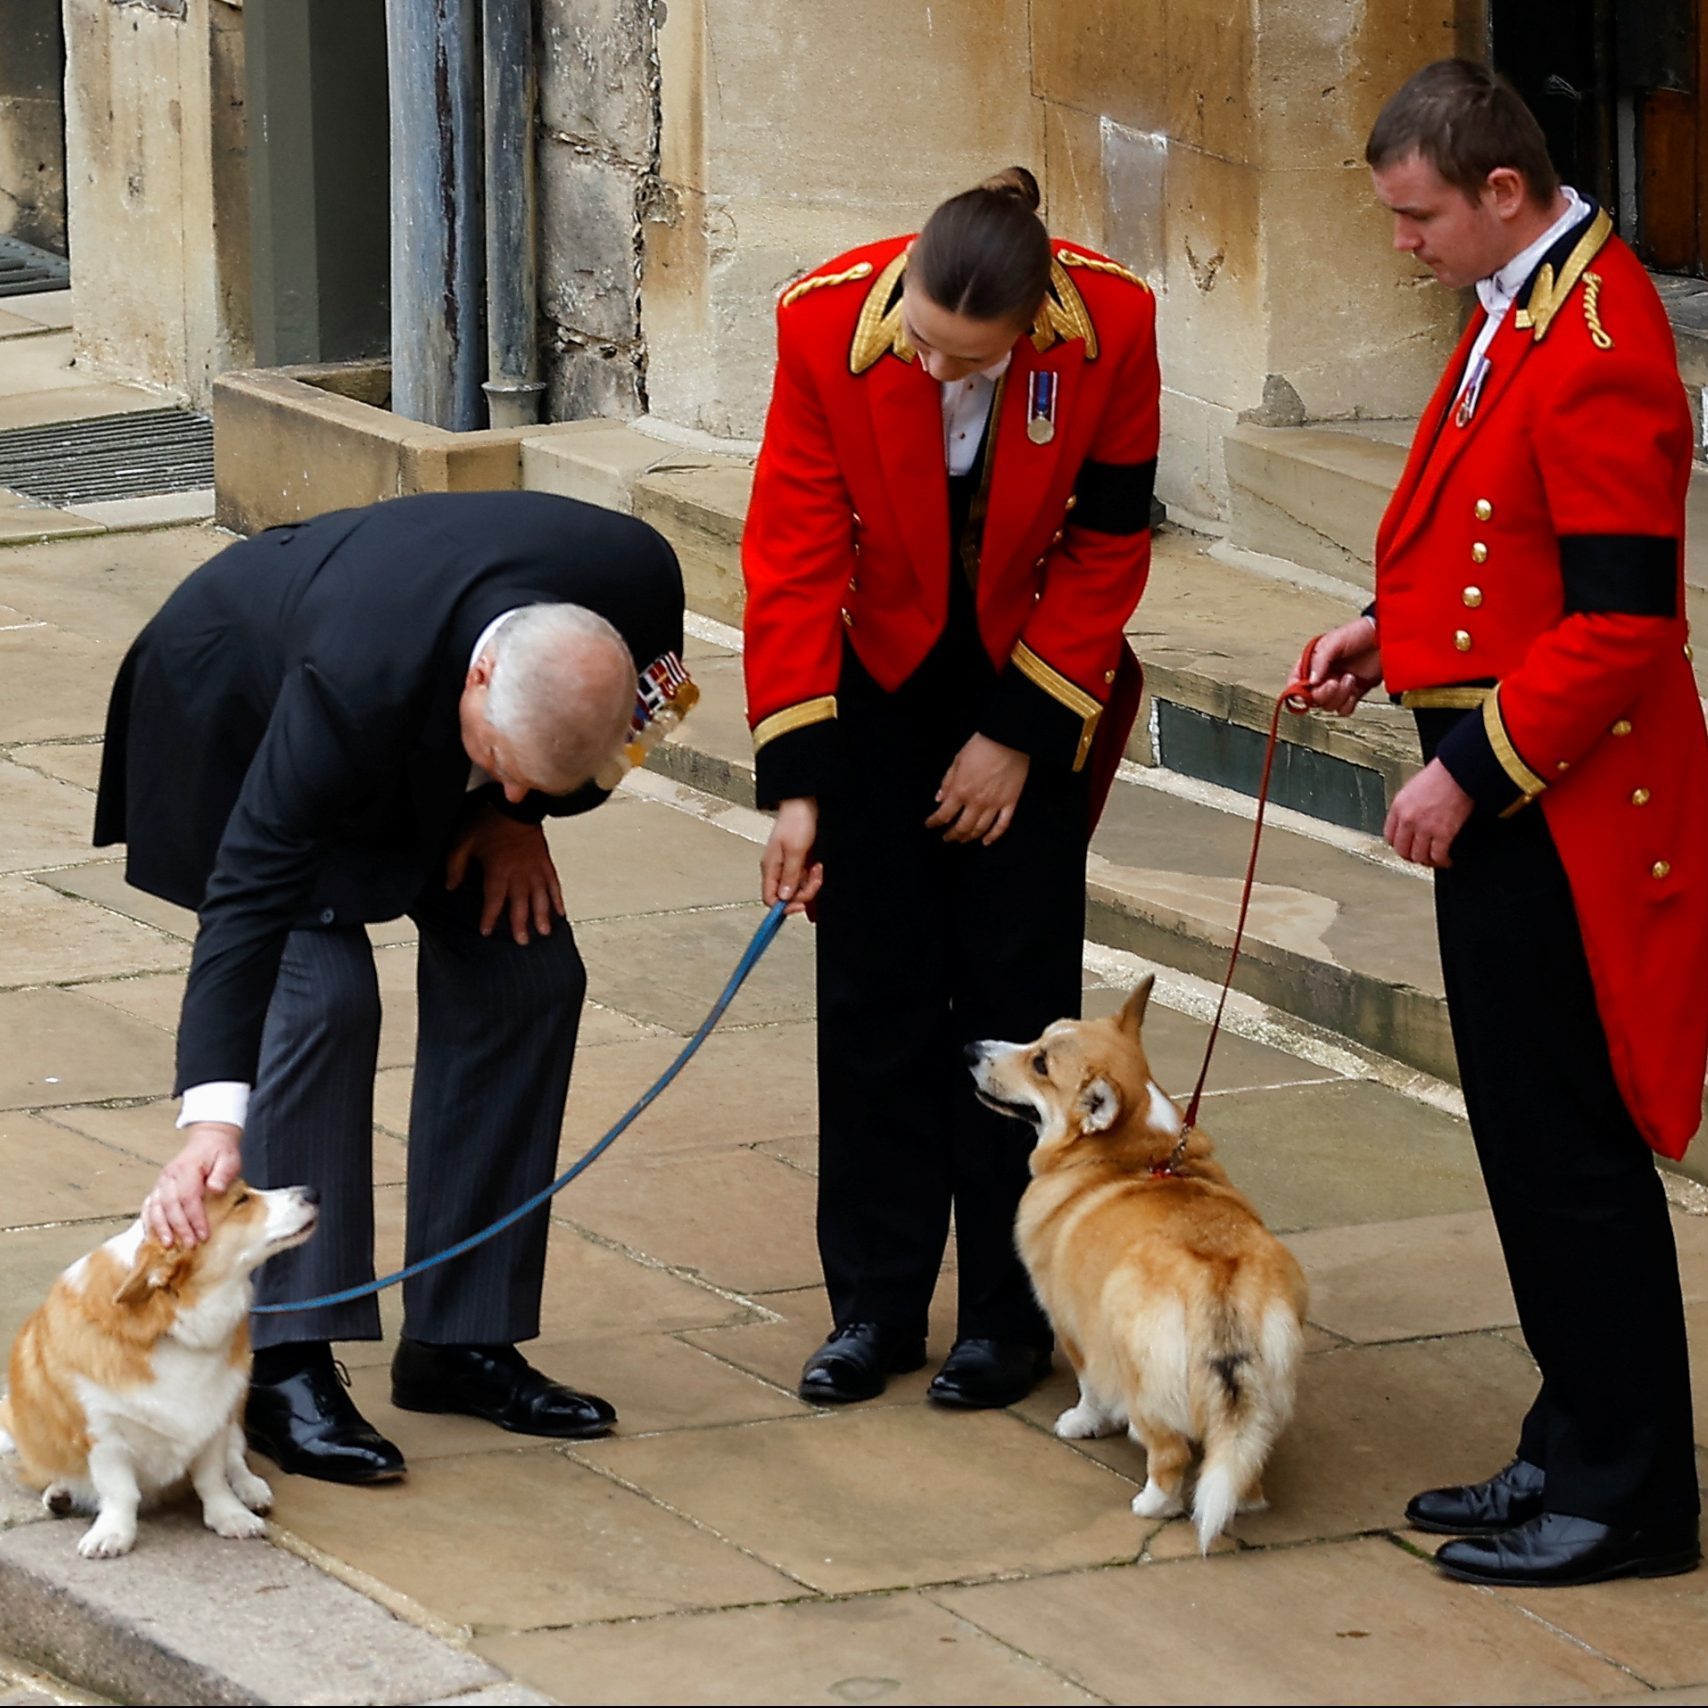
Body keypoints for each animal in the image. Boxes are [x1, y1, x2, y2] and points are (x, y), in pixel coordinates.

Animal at [0, 1181, 319, 1557]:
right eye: (241, 1201)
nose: (312, 1192)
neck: (170, 1320)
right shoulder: (103, 1433)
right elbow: (120, 1491)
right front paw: (113, 1534)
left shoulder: (215, 1418)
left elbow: (213, 1478)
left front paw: (230, 1516)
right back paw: (60, 1492)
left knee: (236, 1457)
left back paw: (251, 1489)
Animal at [976, 976, 1304, 1550]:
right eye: (1038, 1040)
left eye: (1040, 1064)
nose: (971, 1050)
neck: (1129, 1152)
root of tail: (1221, 1281)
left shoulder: (1075, 1324)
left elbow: (1089, 1387)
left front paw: (1082, 1422)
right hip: (1263, 1395)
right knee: (1242, 1457)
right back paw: (1246, 1501)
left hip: (1143, 1375)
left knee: (1168, 1452)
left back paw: (1151, 1504)